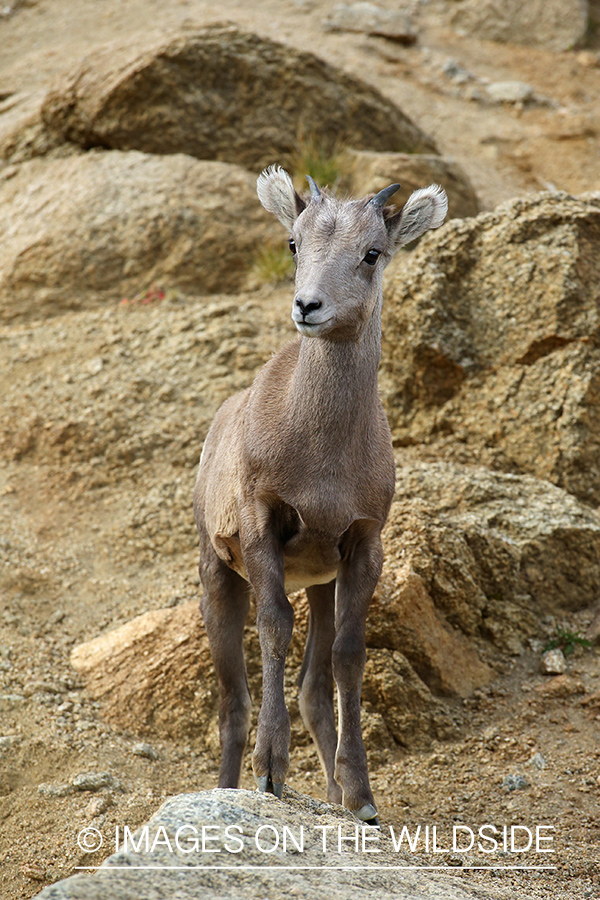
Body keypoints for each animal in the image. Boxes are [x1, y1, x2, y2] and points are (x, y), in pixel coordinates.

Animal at [192, 165, 446, 828]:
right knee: (232, 704)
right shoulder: (262, 527)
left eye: (372, 253)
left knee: (312, 687)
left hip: (321, 583)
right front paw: (270, 773)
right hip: (217, 575)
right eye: (293, 243)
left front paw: (361, 799)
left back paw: (332, 795)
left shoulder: (360, 544)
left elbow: (348, 657)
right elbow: (274, 626)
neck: (321, 455)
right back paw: (230, 789)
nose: (308, 306)